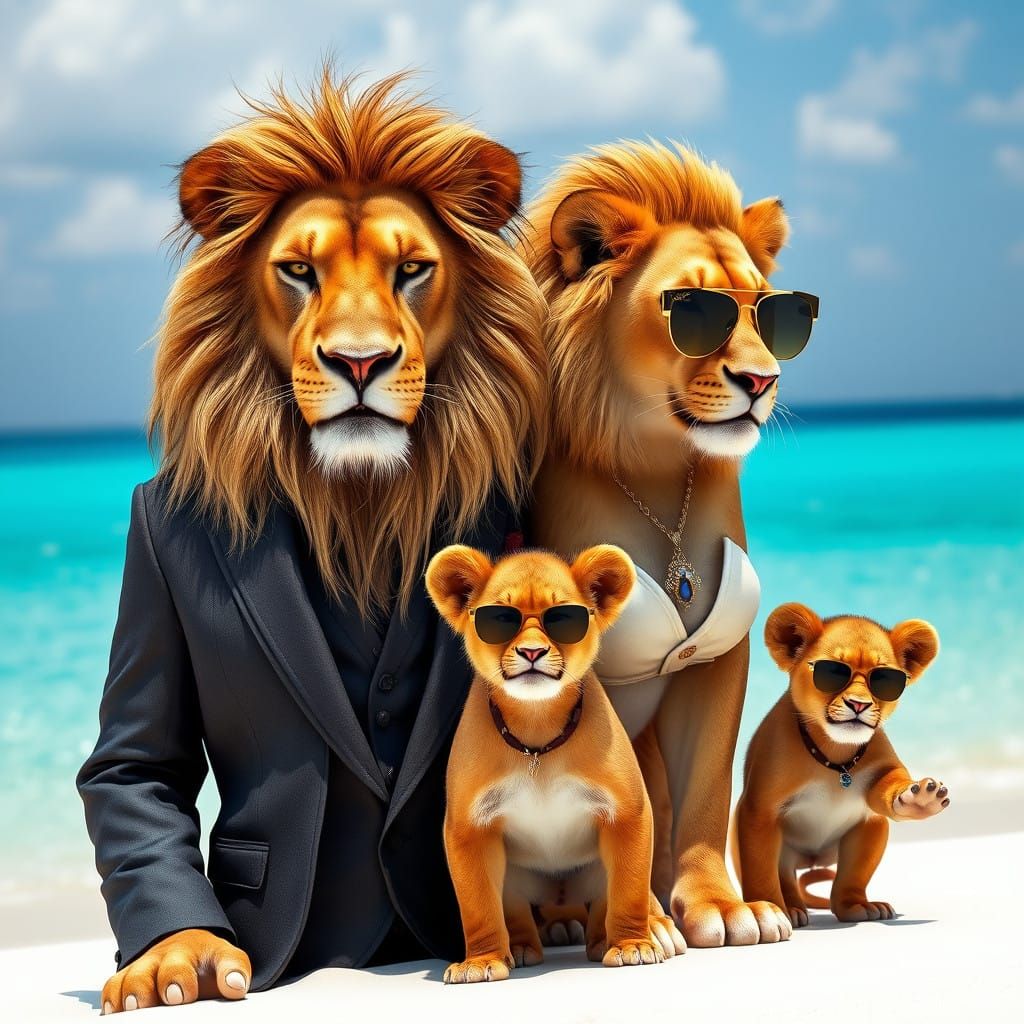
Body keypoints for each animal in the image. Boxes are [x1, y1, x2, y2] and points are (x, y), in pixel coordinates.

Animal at [523, 141, 814, 948]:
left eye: (771, 312)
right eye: (693, 309)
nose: (761, 380)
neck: (652, 468)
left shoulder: (716, 658)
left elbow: (703, 790)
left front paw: (721, 906)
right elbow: (629, 796)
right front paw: (643, 923)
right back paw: (565, 919)